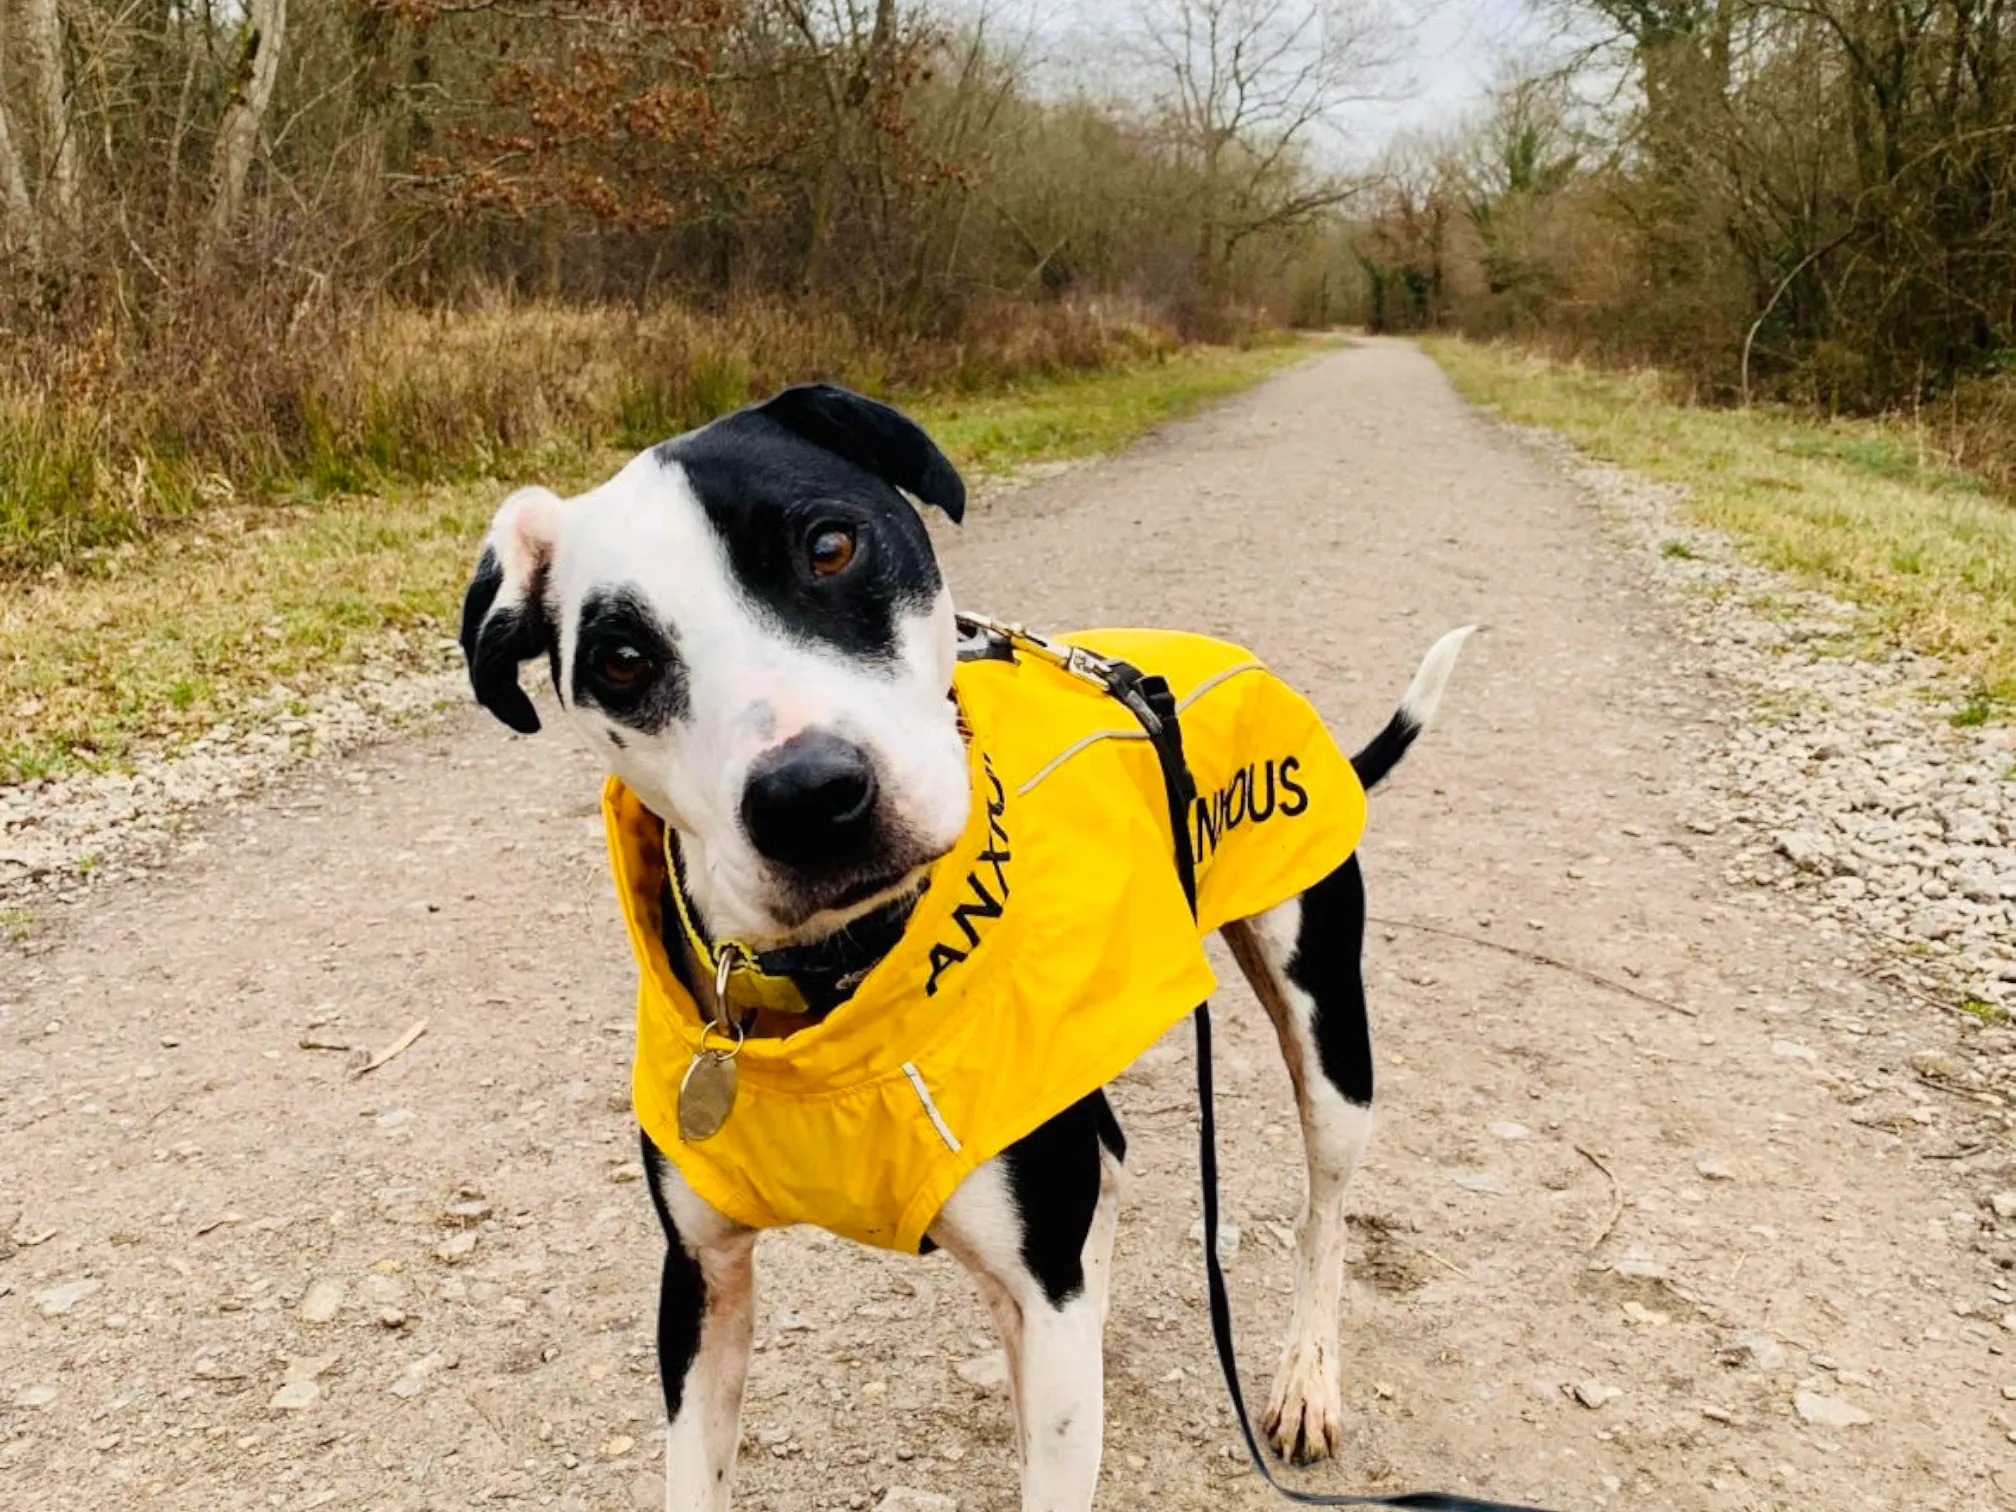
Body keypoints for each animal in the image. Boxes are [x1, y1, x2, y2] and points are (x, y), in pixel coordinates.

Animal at [457, 385, 1467, 1507]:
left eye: (830, 545)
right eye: (622, 660)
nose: (811, 797)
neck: (841, 979)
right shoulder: (704, 1283)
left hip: (1326, 1030)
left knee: (1320, 1213)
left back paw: (1304, 1379)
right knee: (1111, 1172)